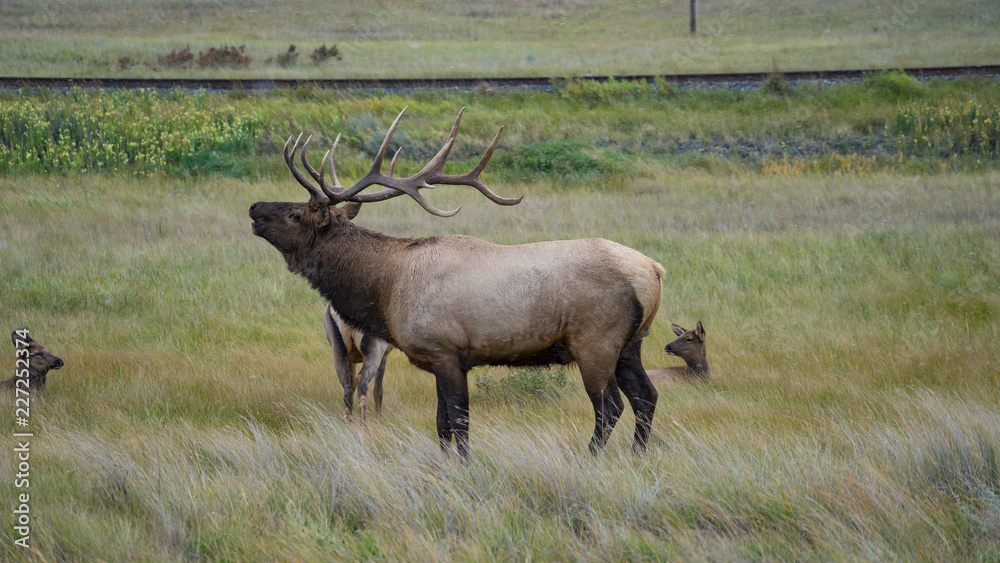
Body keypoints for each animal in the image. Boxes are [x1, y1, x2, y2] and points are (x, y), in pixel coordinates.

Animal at [249, 107, 665, 457]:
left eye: (295, 213)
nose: (254, 207)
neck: (385, 288)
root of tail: (654, 271)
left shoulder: (446, 350)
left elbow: (459, 422)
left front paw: (465, 467)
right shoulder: (438, 359)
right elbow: (441, 425)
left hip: (595, 340)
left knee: (610, 406)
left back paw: (589, 457)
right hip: (632, 343)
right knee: (646, 396)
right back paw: (637, 455)